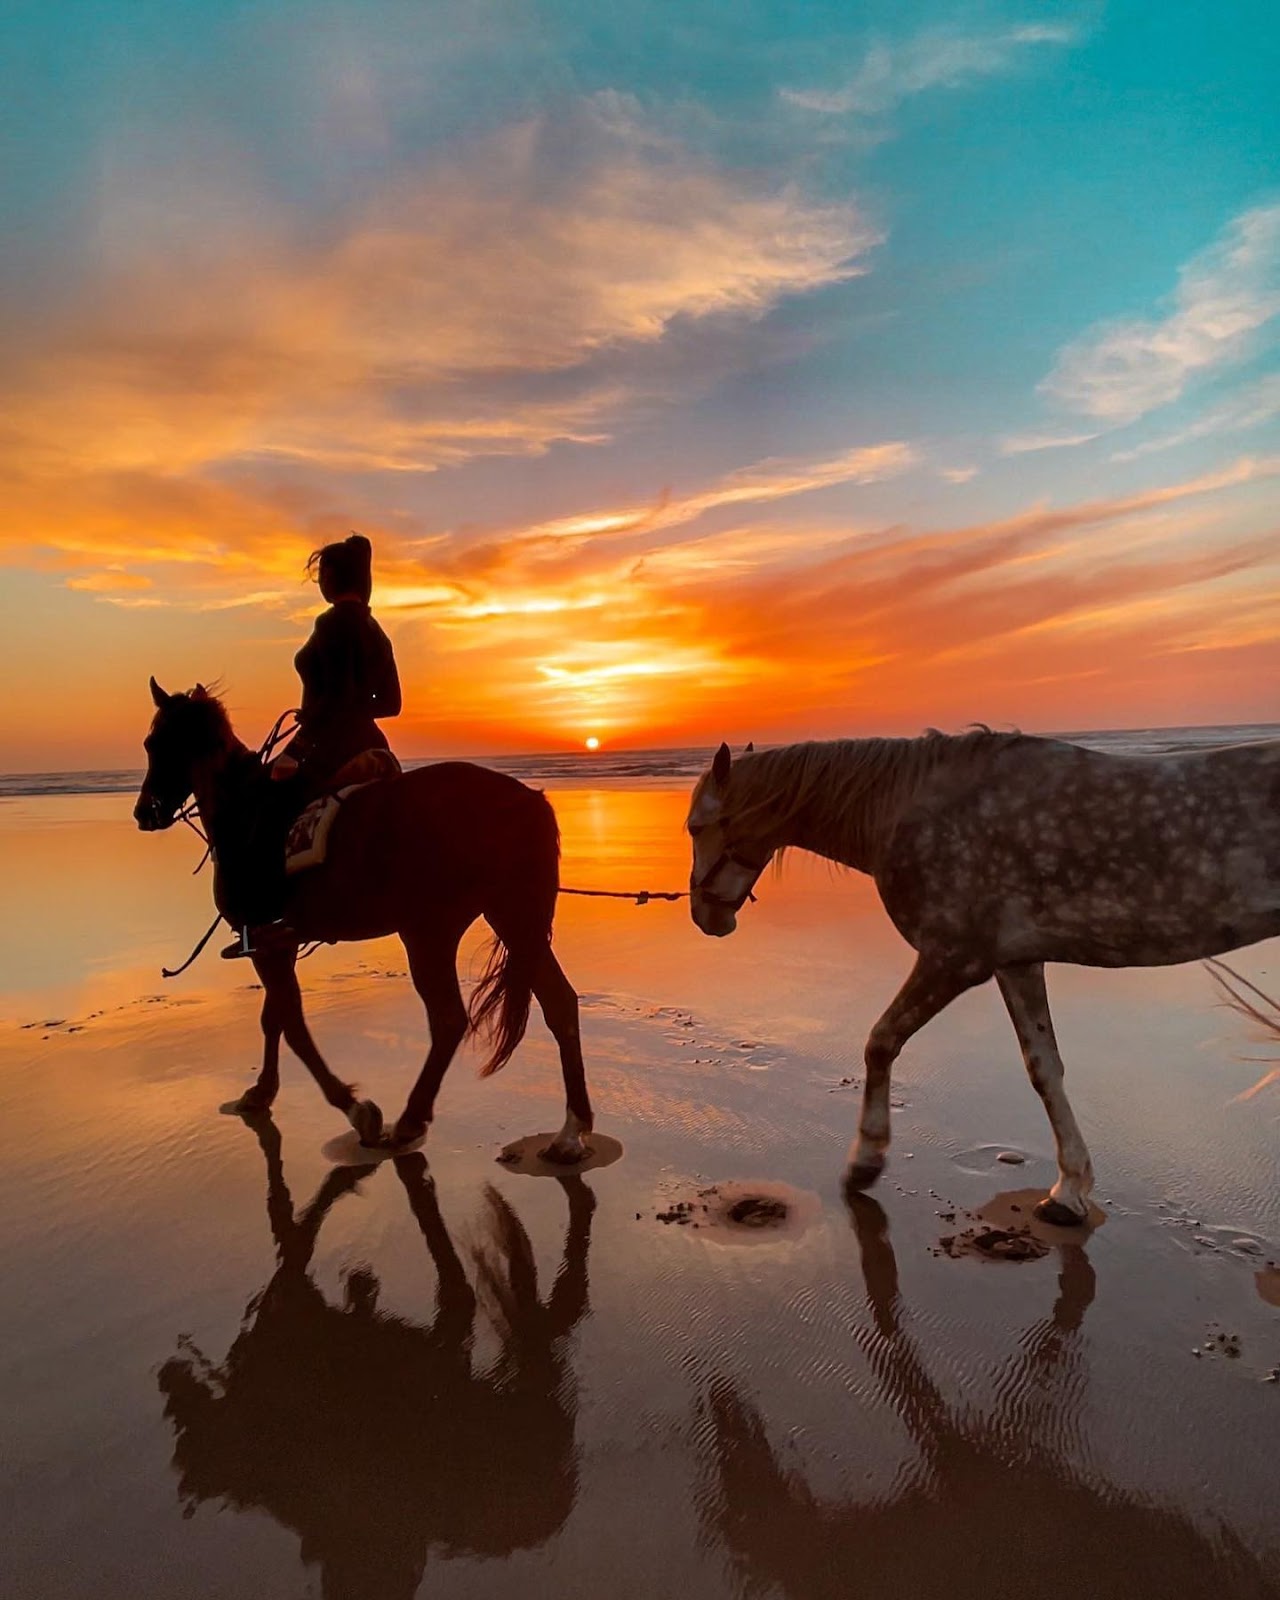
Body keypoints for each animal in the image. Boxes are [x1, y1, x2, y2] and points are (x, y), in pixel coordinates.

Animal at [132, 681, 592, 1158]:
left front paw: (355, 1110)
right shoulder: (277, 941)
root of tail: (527, 799)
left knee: (449, 1018)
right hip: (513, 917)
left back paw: (409, 1120)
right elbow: (274, 1018)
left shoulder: (263, 941)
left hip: (430, 930)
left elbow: (293, 1026)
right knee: (559, 1005)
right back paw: (570, 1131)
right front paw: (261, 1092)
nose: (145, 812)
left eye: (153, 743)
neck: (245, 814)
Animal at [691, 732, 1280, 1216]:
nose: (704, 917)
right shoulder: (1014, 963)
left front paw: (866, 1160)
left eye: (696, 826)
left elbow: (881, 1042)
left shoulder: (953, 958)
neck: (907, 808)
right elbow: (1044, 1069)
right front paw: (1068, 1191)